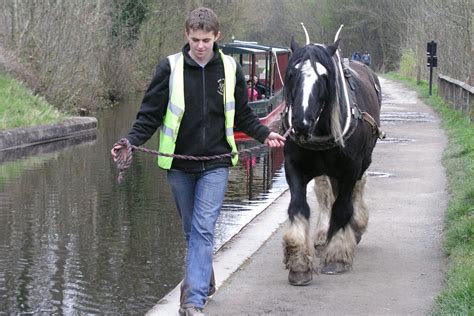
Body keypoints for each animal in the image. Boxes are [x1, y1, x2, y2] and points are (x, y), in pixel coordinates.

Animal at [280, 30, 384, 286]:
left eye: (325, 77)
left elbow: (342, 207)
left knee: (354, 192)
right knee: (326, 193)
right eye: (292, 73)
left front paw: (337, 254)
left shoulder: (351, 169)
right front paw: (299, 263)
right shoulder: (293, 167)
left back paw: (355, 227)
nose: (300, 123)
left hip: (361, 164)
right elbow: (299, 207)